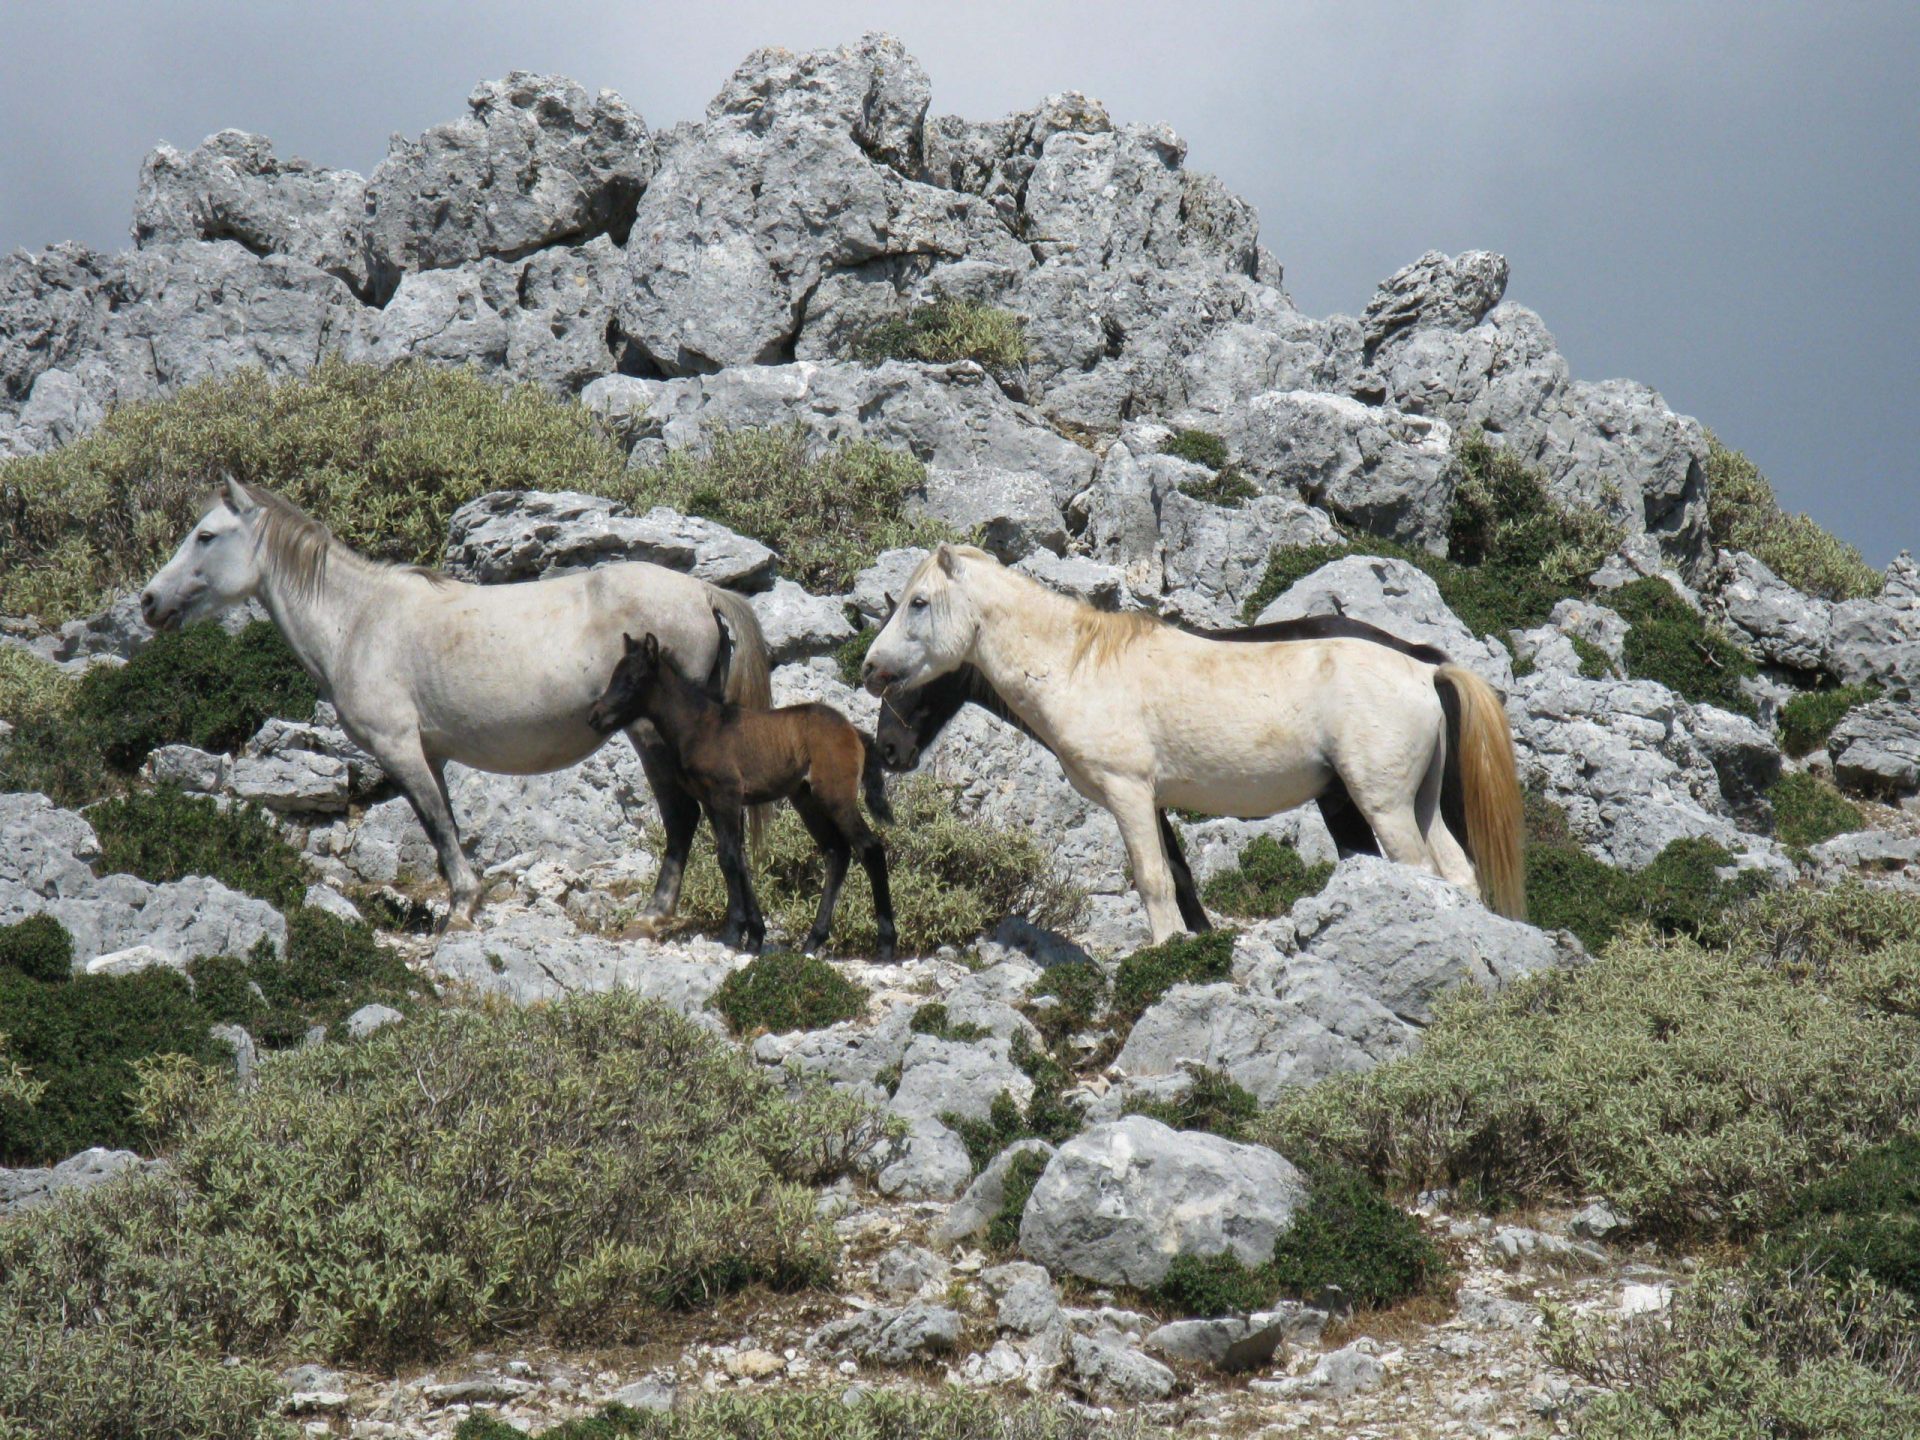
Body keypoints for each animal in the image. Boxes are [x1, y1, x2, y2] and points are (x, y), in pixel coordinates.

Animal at [140, 478, 772, 930]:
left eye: (205, 535)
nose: (149, 601)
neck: (360, 620)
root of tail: (703, 592)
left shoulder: (398, 748)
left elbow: (437, 826)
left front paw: (463, 907)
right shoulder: (433, 755)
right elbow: (445, 819)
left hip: (653, 735)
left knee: (686, 817)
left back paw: (656, 914)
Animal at [588, 630, 896, 962]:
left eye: (632, 679)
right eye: (613, 675)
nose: (595, 717)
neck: (700, 727)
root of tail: (854, 731)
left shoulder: (726, 796)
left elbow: (727, 857)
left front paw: (732, 933)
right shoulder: (713, 803)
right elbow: (738, 857)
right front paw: (754, 937)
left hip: (835, 796)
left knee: (870, 849)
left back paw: (886, 944)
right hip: (807, 800)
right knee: (836, 852)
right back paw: (812, 941)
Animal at [861, 543, 1525, 943]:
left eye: (919, 603)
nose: (888, 750)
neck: (1080, 666)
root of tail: (1422, 669)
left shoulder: (1129, 792)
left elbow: (1152, 877)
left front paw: (1164, 949)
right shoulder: (1152, 800)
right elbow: (1176, 872)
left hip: (1381, 803)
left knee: (1419, 872)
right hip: (1420, 802)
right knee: (1456, 873)